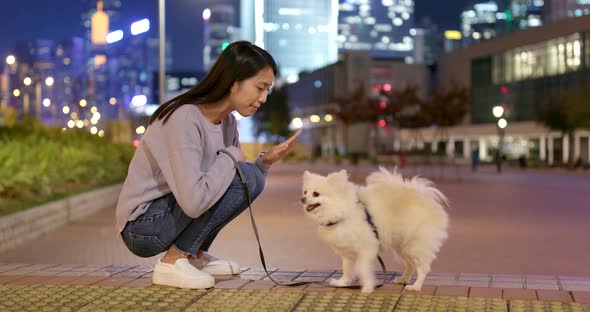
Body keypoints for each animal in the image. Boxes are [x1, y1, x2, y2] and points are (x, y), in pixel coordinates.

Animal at [302, 168, 450, 292]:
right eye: (305, 192)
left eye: (316, 194)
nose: (302, 199)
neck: (342, 212)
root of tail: (423, 195)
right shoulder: (347, 252)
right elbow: (347, 269)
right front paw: (342, 283)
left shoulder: (367, 248)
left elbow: (363, 269)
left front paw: (367, 287)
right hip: (403, 247)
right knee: (410, 265)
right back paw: (403, 279)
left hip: (415, 245)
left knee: (423, 267)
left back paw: (415, 286)